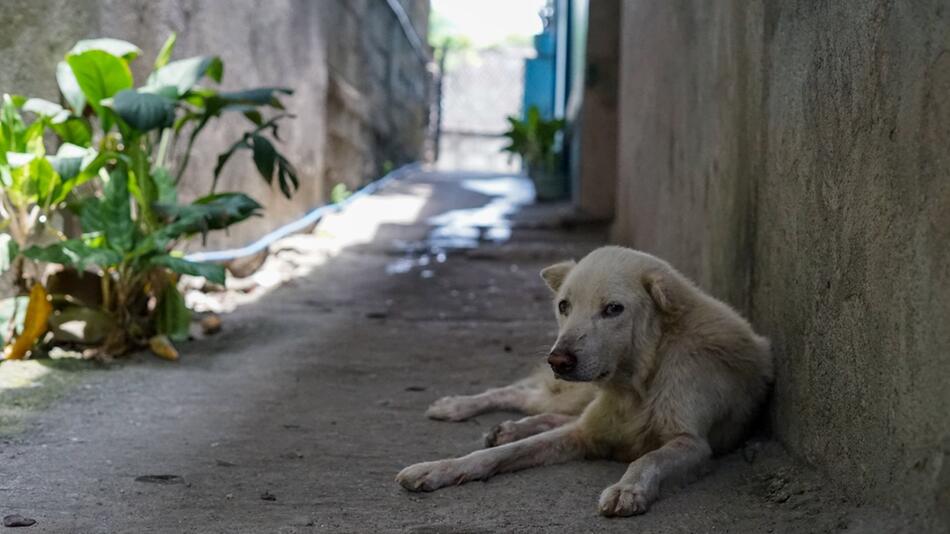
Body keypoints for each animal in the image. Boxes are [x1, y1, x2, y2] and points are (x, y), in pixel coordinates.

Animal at [394, 248, 772, 520]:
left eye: (614, 309)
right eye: (564, 305)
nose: (558, 360)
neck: (638, 384)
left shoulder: (693, 444)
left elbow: (648, 458)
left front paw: (627, 489)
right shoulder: (583, 433)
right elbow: (500, 454)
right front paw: (438, 468)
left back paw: (508, 427)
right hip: (573, 394)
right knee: (524, 395)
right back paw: (457, 407)